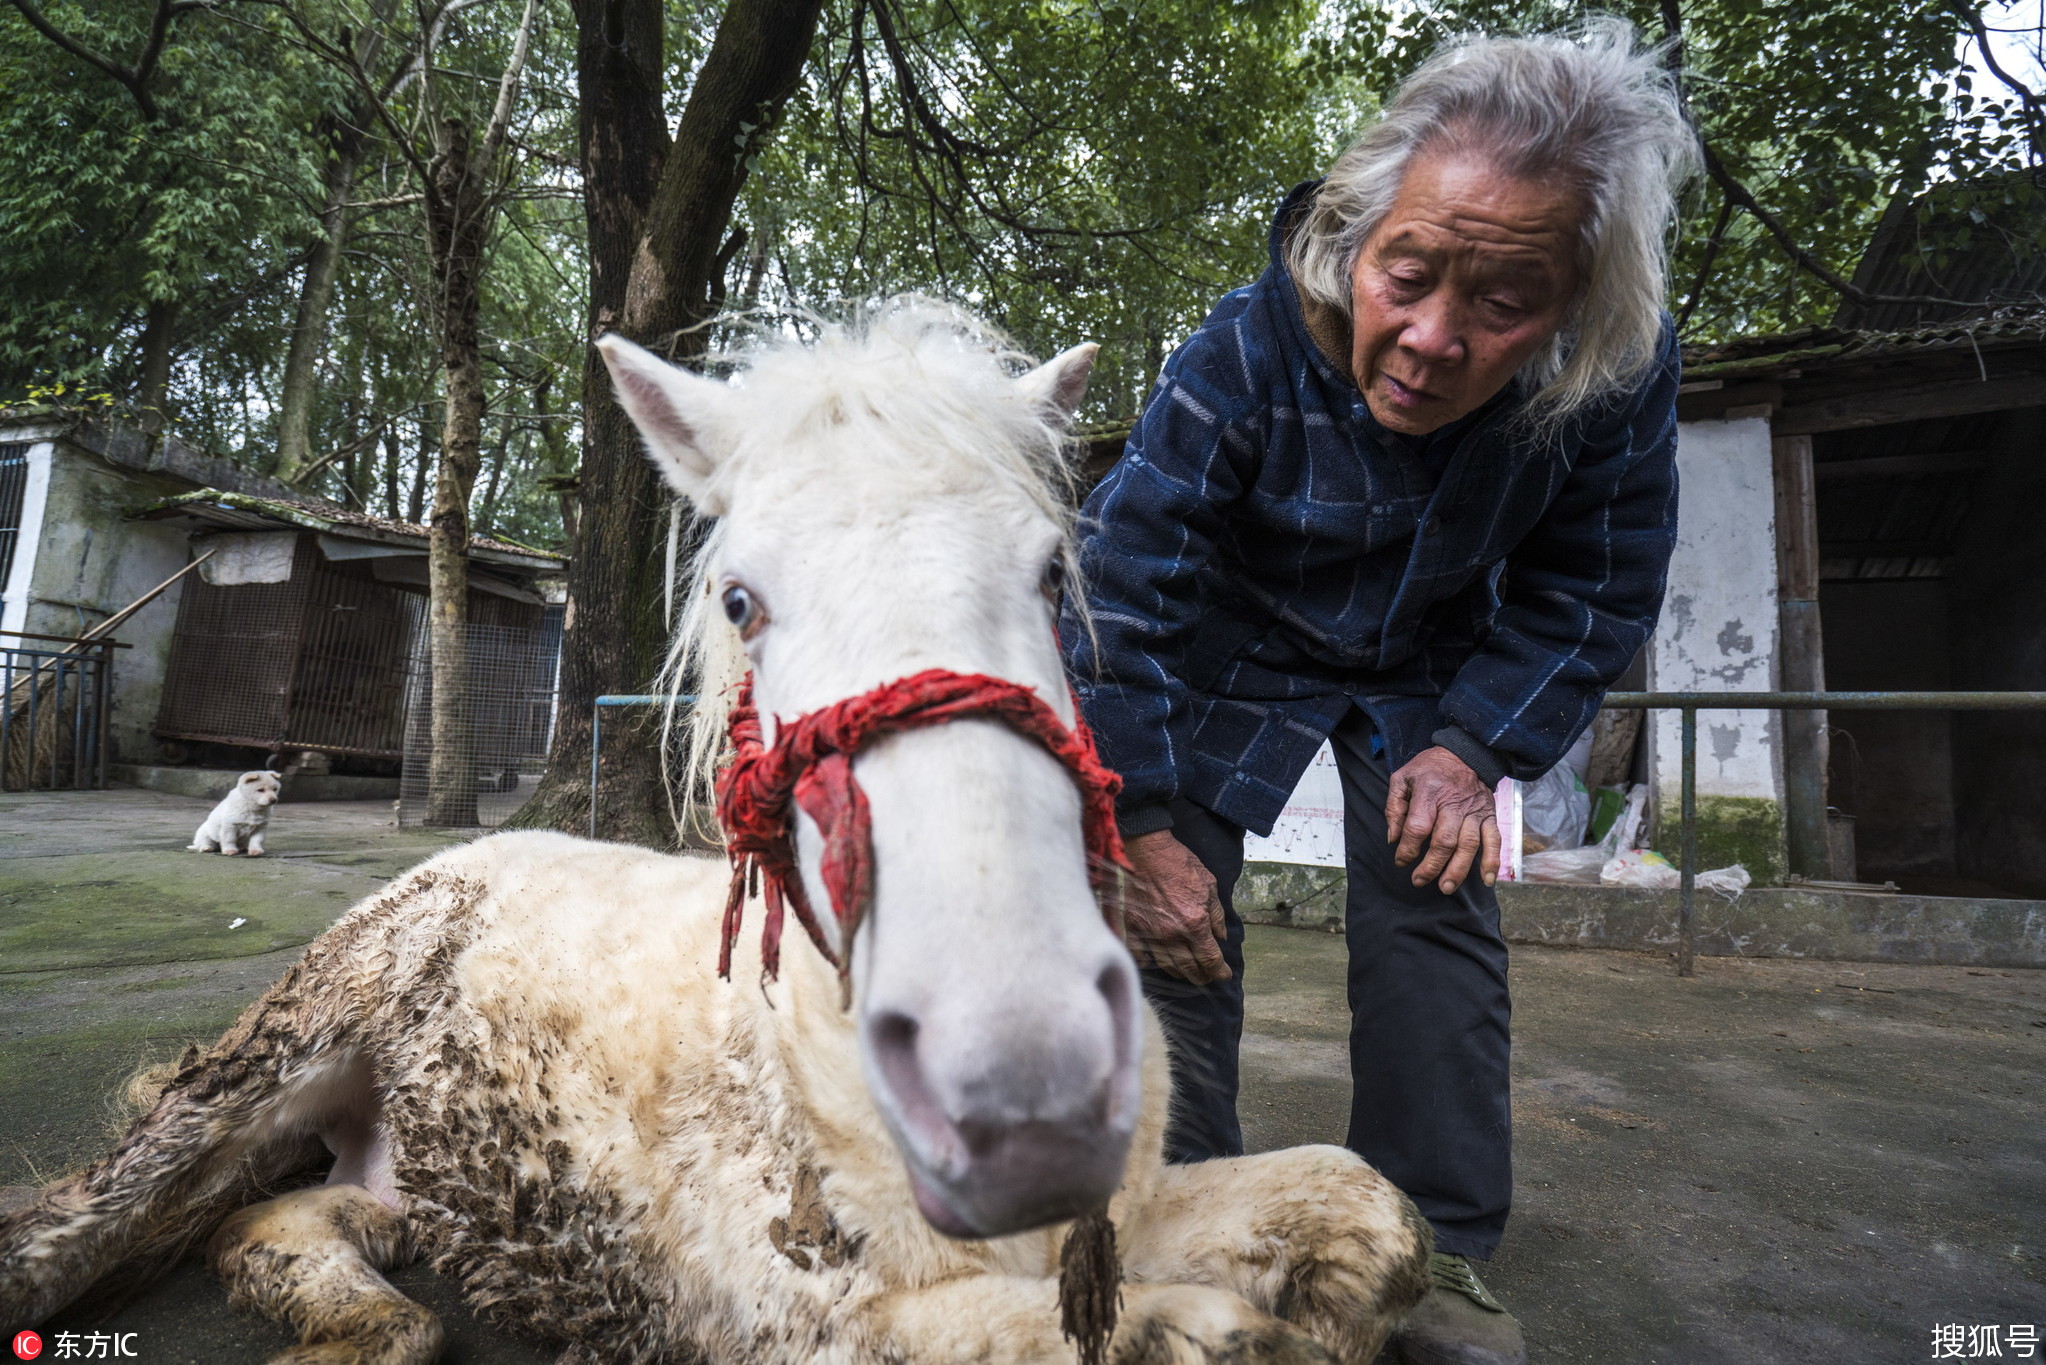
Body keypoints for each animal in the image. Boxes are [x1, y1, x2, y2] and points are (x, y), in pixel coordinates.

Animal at [0, 304, 1424, 1358]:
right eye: (739, 599)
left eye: (1052, 576)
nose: (1024, 1082)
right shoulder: (785, 1310)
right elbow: (1166, 1338)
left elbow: (1371, 1213)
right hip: (274, 1062)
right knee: (76, 1229)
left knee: (286, 1223)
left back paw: (365, 1316)